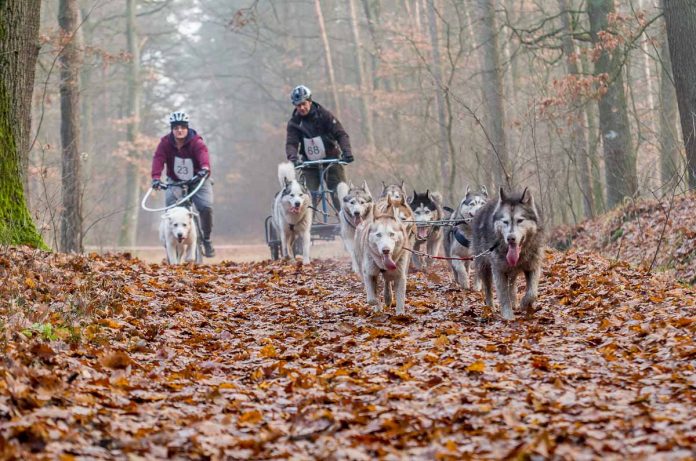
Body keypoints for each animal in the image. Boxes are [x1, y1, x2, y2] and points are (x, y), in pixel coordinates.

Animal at [474, 188, 544, 320]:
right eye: (505, 222)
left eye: (520, 220)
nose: (510, 238)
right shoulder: (499, 270)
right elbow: (503, 295)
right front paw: (508, 317)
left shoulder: (533, 266)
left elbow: (532, 293)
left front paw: (524, 304)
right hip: (484, 267)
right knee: (488, 288)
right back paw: (490, 307)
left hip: (511, 271)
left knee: (511, 285)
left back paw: (514, 302)